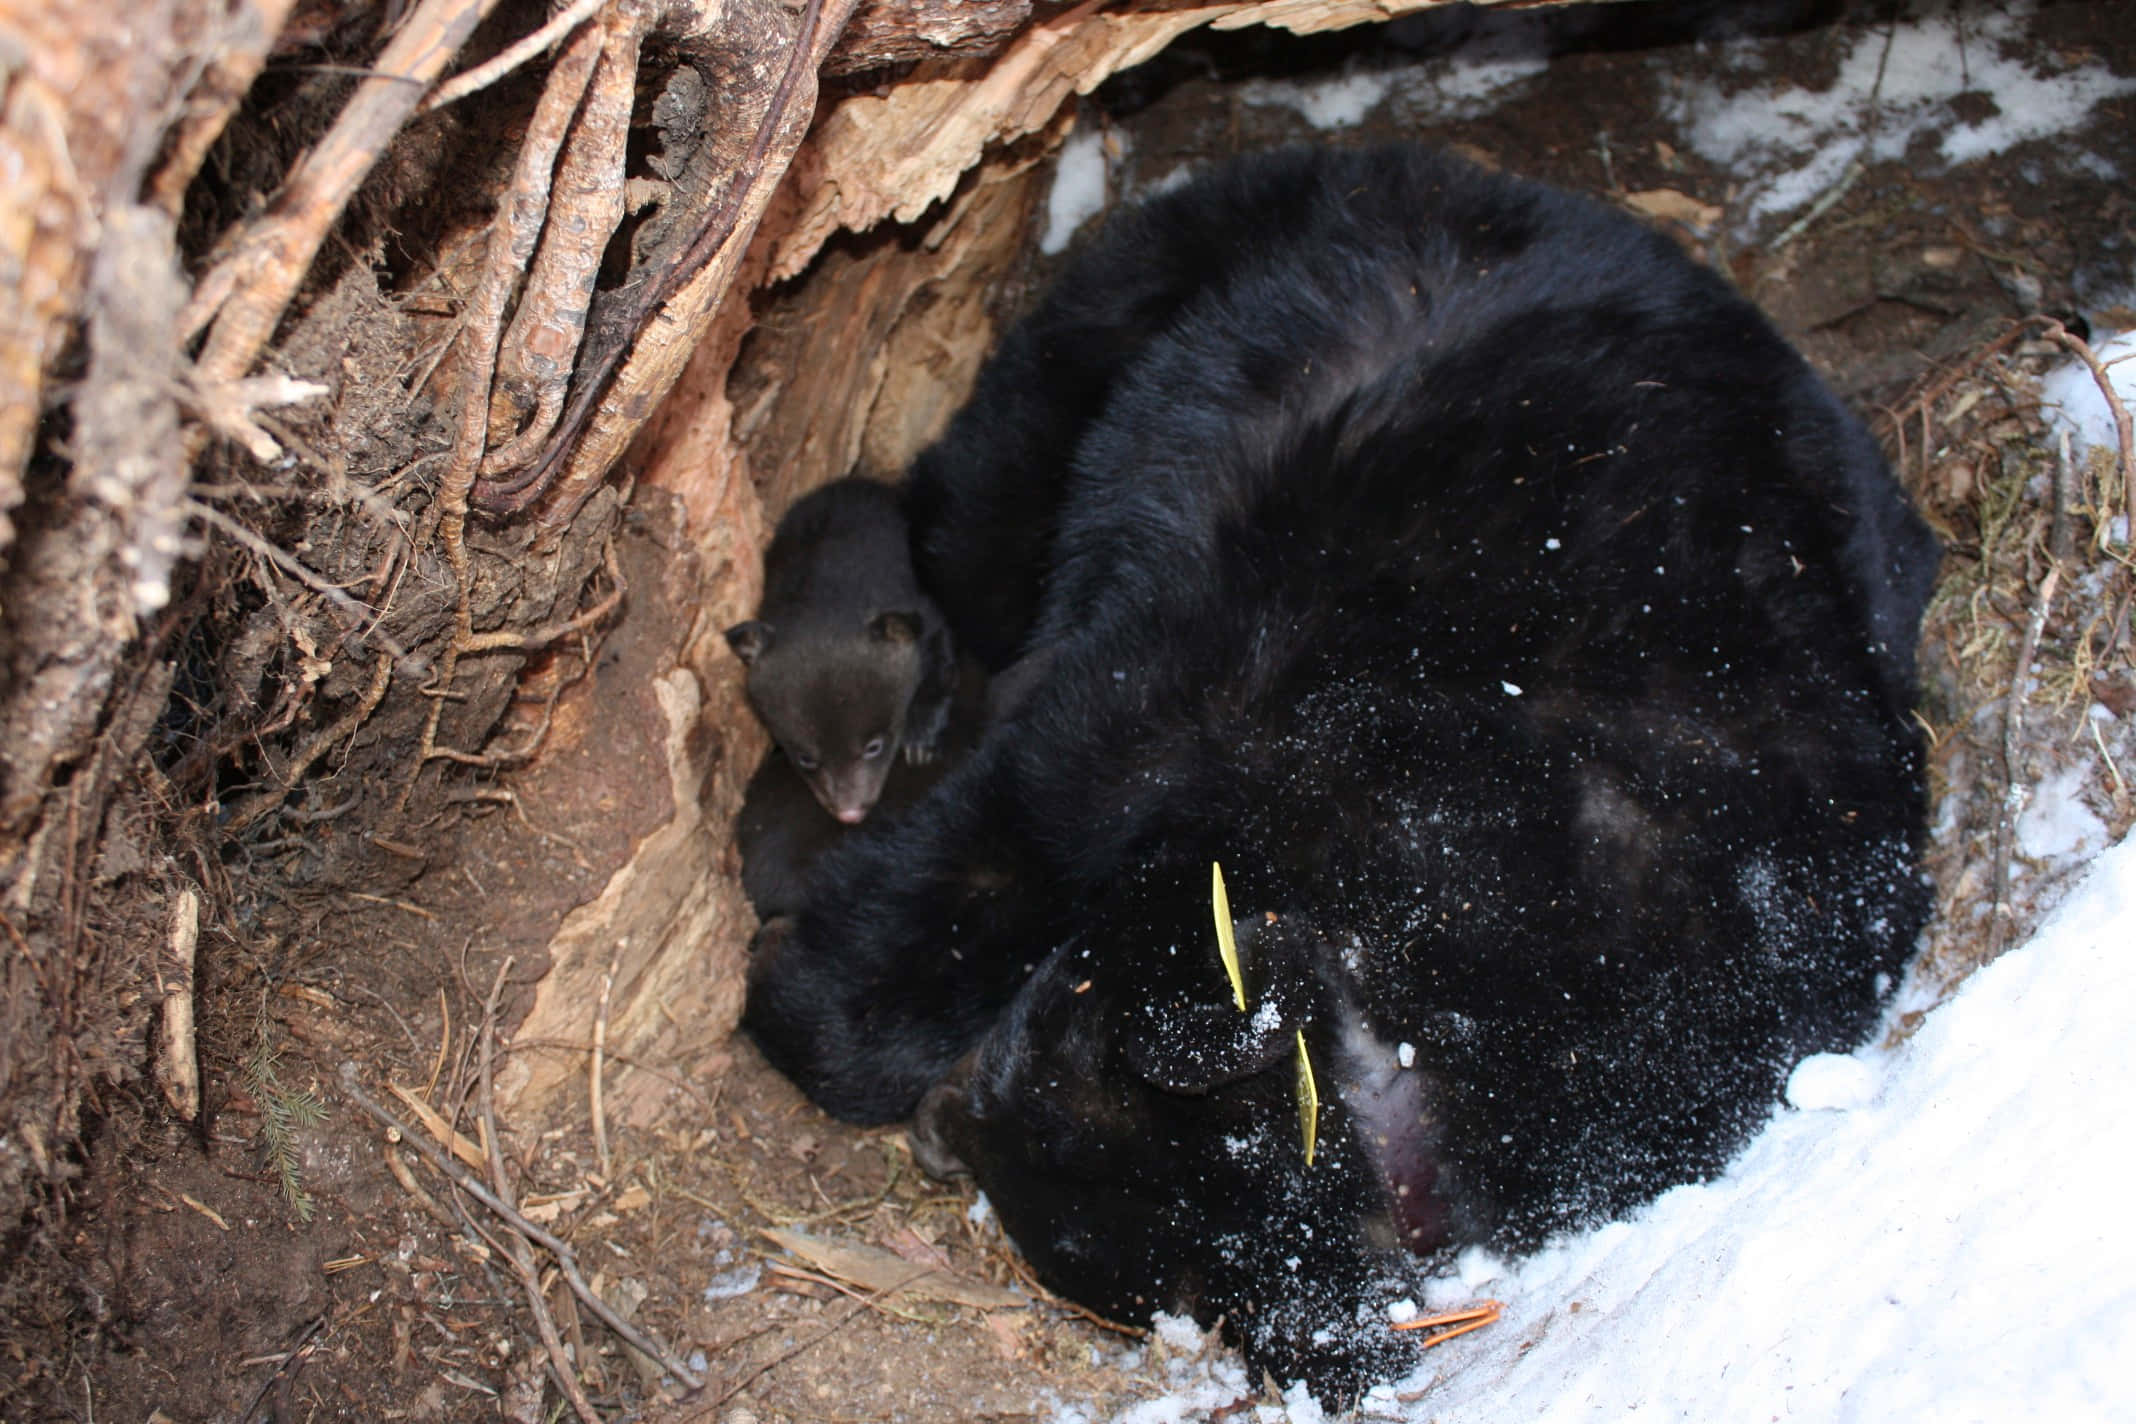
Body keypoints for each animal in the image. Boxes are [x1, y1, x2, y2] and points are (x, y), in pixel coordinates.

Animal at [725, 477, 957, 824]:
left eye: (874, 746)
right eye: (806, 759)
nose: (850, 814)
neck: (824, 594)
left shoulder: (922, 612)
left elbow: (941, 656)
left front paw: (921, 737)